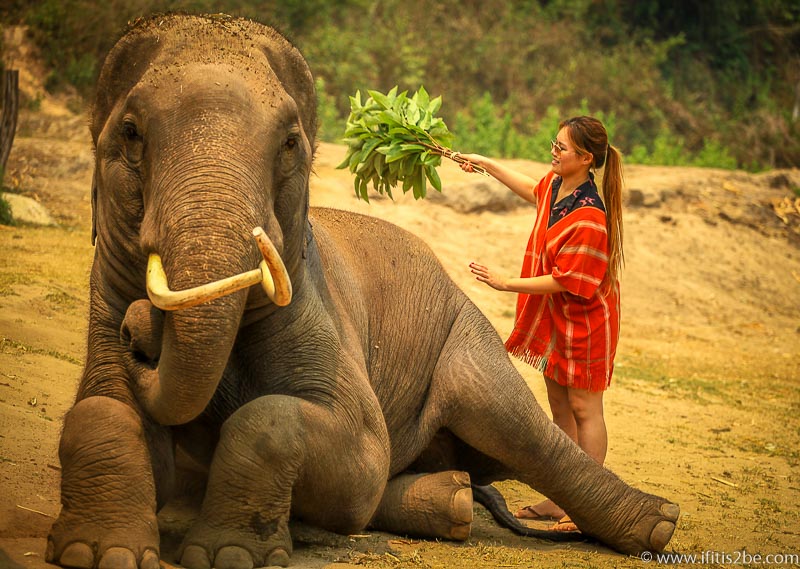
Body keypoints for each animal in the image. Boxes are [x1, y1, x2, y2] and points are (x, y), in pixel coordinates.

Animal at [47, 13, 680, 568]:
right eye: (130, 134)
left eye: (290, 144)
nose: (137, 331)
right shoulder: (105, 296)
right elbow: (101, 410)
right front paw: (97, 552)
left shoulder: (317, 307)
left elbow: (349, 447)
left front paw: (230, 555)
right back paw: (453, 499)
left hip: (467, 337)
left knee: (518, 429)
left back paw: (657, 525)